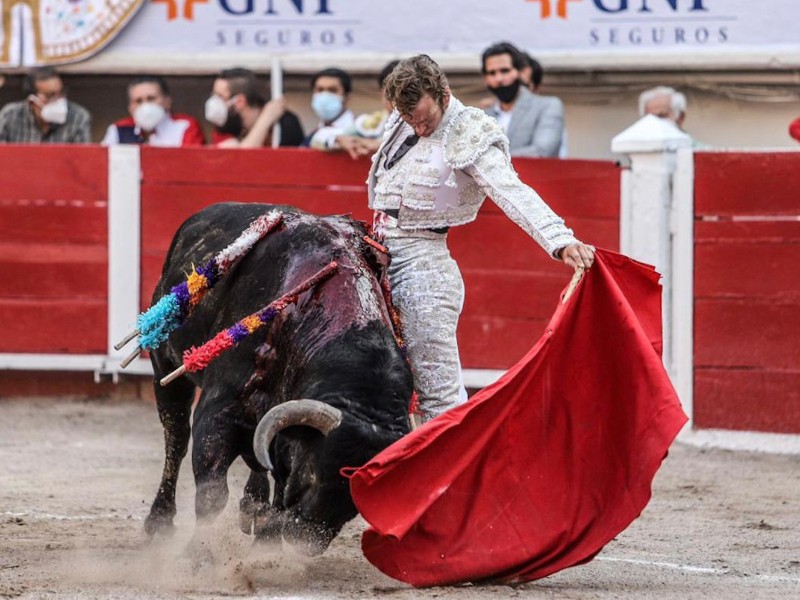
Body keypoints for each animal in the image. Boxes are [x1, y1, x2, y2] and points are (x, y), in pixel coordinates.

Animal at [145, 202, 416, 552]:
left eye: (359, 499)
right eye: (314, 473)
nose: (308, 541)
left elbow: (276, 481)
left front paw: (266, 546)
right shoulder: (217, 412)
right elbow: (212, 493)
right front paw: (201, 555)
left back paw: (253, 506)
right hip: (165, 367)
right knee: (176, 438)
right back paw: (159, 522)